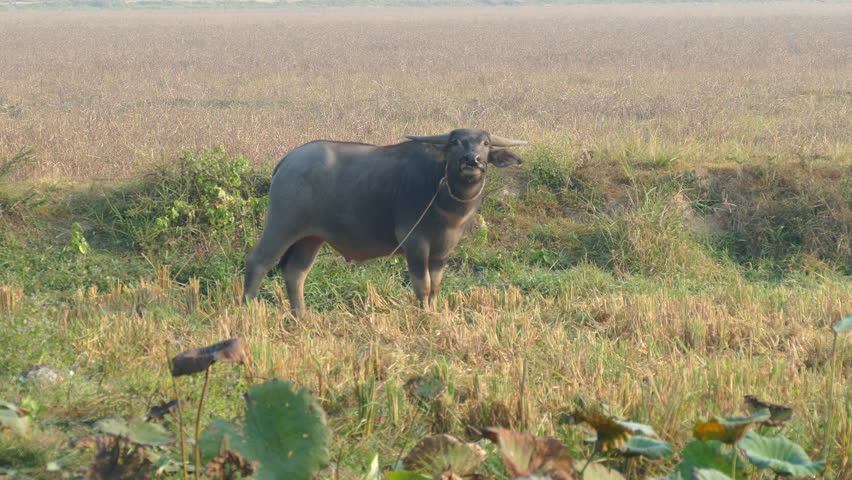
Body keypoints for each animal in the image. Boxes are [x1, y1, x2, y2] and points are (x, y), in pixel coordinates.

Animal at [244, 128, 526, 318]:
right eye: (455, 142)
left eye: (485, 143)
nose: (472, 160)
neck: (447, 204)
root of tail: (288, 159)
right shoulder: (415, 242)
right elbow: (422, 285)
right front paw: (423, 314)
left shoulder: (444, 248)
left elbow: (435, 286)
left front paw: (433, 313)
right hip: (282, 224)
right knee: (259, 261)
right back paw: (249, 310)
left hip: (311, 237)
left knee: (296, 272)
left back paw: (301, 316)